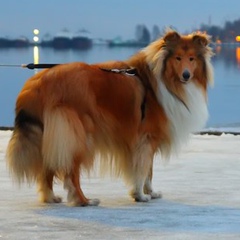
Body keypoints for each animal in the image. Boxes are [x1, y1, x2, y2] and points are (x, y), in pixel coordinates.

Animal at [6, 30, 214, 206]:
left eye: (192, 58)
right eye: (177, 58)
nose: (186, 75)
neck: (161, 81)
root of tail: (35, 85)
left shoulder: (146, 141)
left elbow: (149, 170)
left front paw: (151, 193)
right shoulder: (146, 139)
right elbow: (144, 169)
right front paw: (140, 195)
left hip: (51, 135)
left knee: (47, 168)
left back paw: (50, 198)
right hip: (78, 136)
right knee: (71, 173)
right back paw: (85, 200)